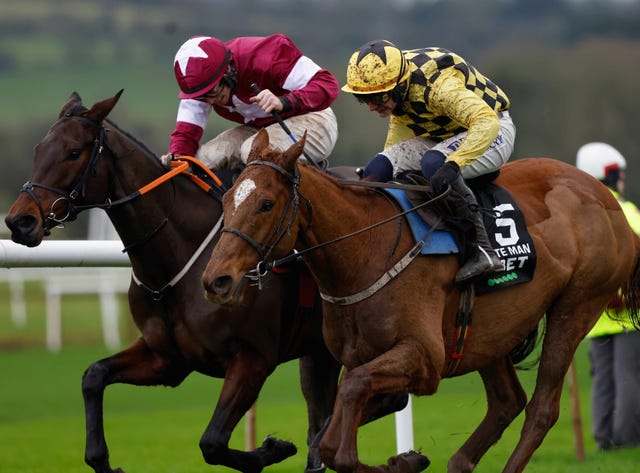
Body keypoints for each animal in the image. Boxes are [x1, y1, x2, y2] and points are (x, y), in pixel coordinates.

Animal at [3, 92, 344, 472]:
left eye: (74, 152)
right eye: (38, 149)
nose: (20, 221)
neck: (179, 262)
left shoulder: (253, 358)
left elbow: (212, 442)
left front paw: (272, 448)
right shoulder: (166, 358)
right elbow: (93, 376)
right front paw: (104, 460)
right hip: (319, 351)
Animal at [202, 129, 640, 472]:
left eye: (266, 204)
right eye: (226, 201)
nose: (216, 280)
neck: (365, 249)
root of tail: (606, 199)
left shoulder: (424, 358)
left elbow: (346, 422)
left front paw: (405, 460)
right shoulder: (360, 357)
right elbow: (327, 441)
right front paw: (403, 458)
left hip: (577, 305)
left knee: (542, 409)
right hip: (490, 332)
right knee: (506, 402)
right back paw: (460, 462)